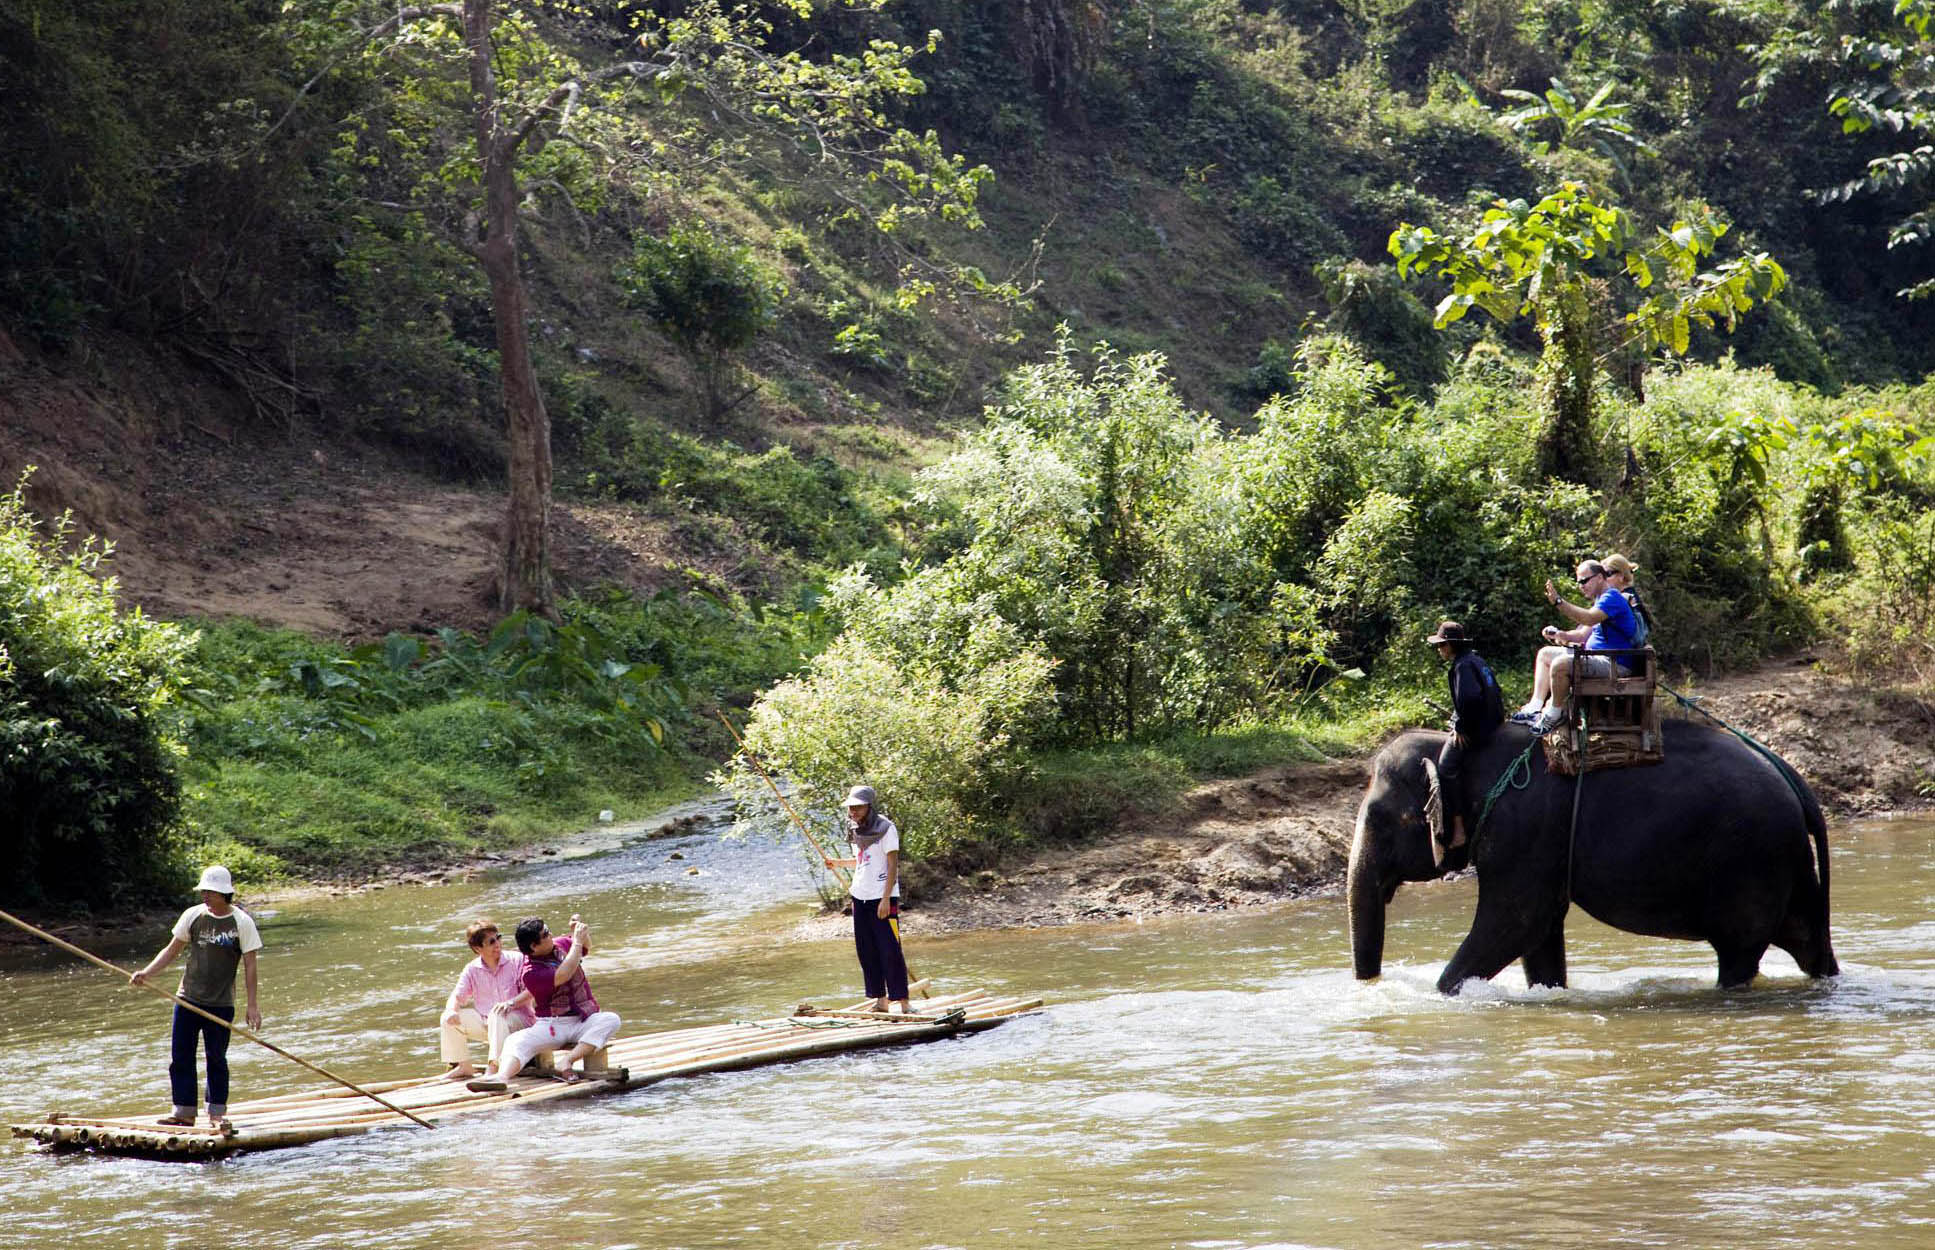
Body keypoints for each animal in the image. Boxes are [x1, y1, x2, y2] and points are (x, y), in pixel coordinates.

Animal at [1348, 719, 1838, 994]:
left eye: (1382, 819)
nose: (1372, 985)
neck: (1460, 750)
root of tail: (1796, 781)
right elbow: (1540, 933)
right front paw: (1549, 991)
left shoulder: (1525, 830)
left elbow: (1515, 923)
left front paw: (1443, 994)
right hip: (1786, 864)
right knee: (1806, 939)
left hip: (1755, 862)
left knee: (1740, 953)